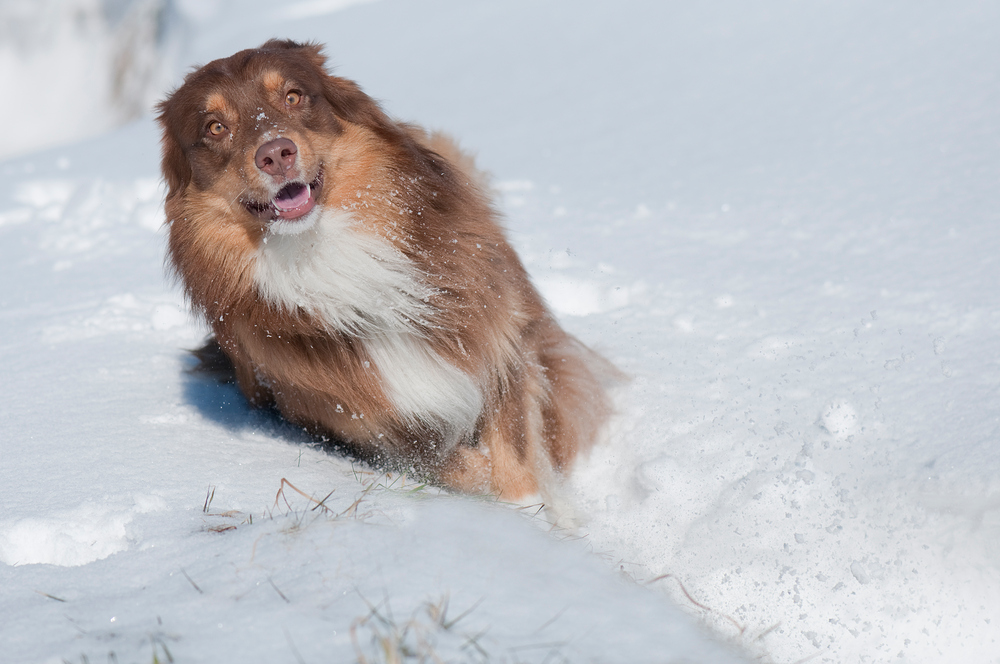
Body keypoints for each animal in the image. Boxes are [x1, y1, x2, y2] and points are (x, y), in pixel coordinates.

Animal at [157, 39, 612, 500]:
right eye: (215, 127)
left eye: (293, 96)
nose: (274, 153)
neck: (326, 251)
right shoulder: (365, 429)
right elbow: (451, 465)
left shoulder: (504, 345)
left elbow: (516, 460)